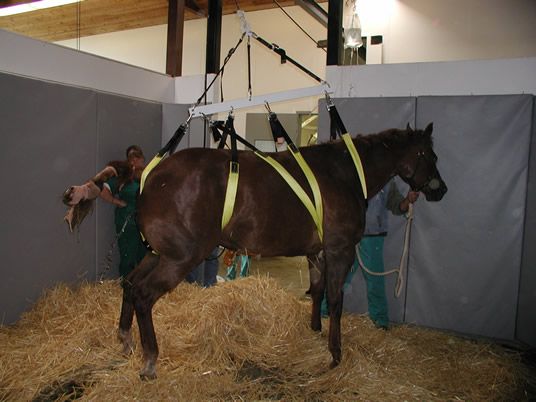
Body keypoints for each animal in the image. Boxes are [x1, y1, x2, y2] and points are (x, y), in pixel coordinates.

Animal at [62, 121, 448, 378]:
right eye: (429, 154)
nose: (440, 189)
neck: (342, 173)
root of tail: (150, 177)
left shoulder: (318, 253)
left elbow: (318, 291)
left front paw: (314, 332)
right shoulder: (341, 251)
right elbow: (336, 300)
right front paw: (335, 352)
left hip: (157, 253)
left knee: (129, 284)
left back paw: (126, 339)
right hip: (179, 258)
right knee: (142, 294)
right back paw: (150, 357)